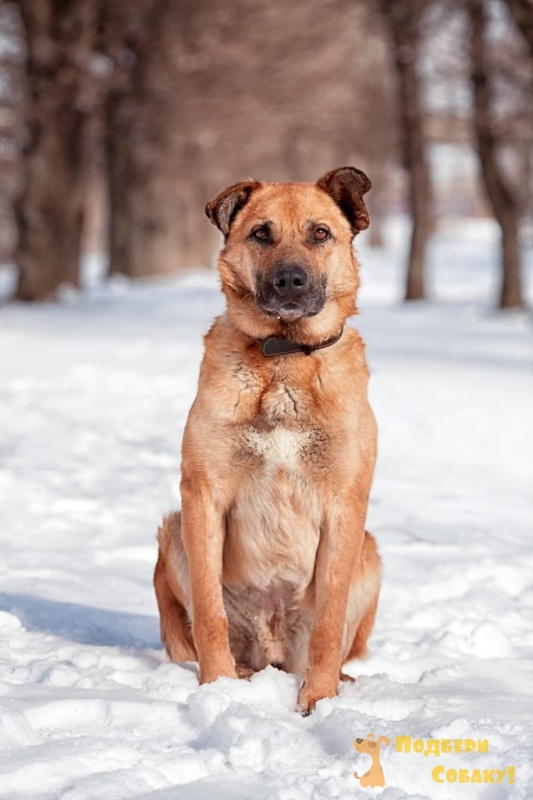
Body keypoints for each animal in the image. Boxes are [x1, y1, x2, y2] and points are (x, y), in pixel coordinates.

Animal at [152, 164, 380, 712]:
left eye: (320, 233)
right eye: (261, 234)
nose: (290, 280)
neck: (284, 358)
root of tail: (271, 647)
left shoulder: (346, 506)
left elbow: (329, 625)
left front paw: (318, 701)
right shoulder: (202, 495)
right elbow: (208, 612)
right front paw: (217, 690)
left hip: (370, 553)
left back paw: (341, 680)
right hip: (173, 531)